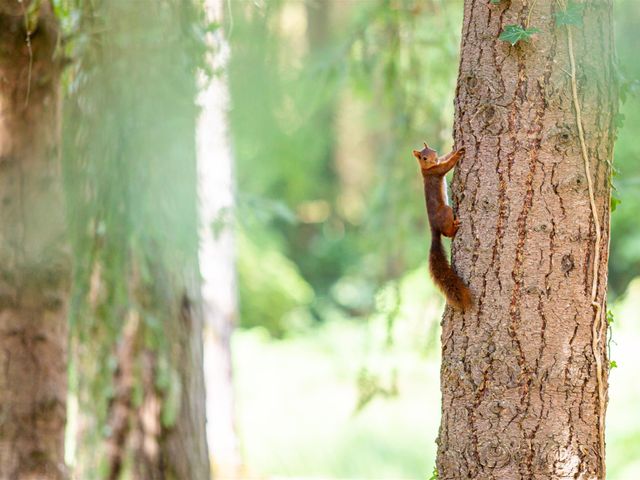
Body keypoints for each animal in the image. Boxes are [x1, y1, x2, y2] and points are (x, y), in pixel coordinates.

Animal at [416, 142, 470, 310]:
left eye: (434, 151)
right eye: (423, 157)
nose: (433, 160)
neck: (426, 168)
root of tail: (433, 228)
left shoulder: (438, 163)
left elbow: (445, 158)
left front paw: (453, 150)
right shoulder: (436, 171)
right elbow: (447, 165)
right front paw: (458, 154)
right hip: (447, 211)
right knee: (447, 233)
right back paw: (455, 227)